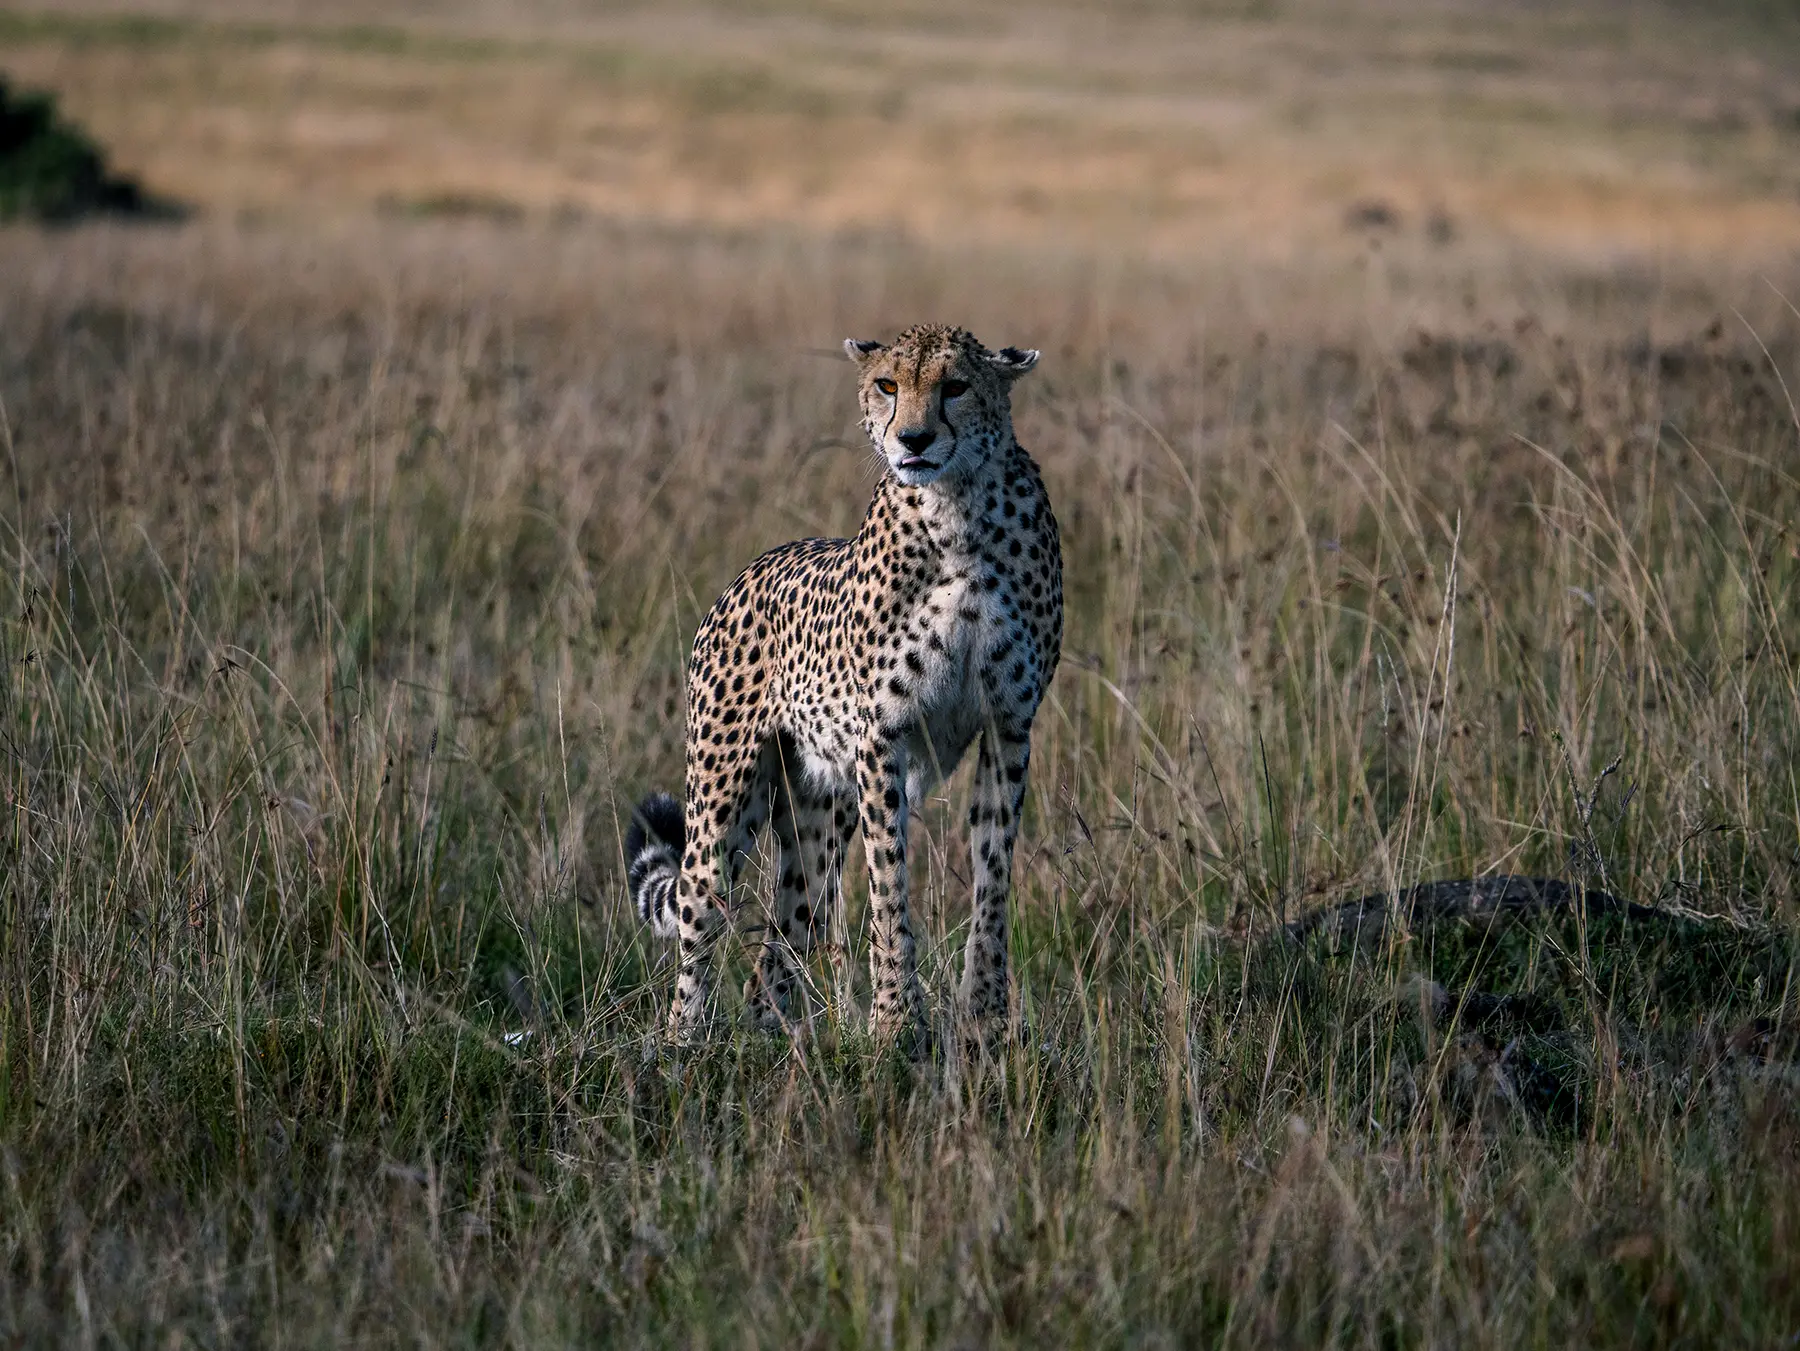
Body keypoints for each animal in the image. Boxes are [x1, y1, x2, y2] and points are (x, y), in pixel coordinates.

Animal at [626, 323, 1062, 1046]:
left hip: (818, 811)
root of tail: (754, 565)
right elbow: (890, 883)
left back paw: (774, 1035)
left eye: (956, 386)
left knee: (784, 934)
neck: (958, 510)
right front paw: (895, 1020)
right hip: (725, 793)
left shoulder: (1009, 725)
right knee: (699, 908)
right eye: (887, 384)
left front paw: (985, 1013)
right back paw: (683, 1040)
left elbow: (993, 873)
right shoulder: (883, 736)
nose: (912, 439)